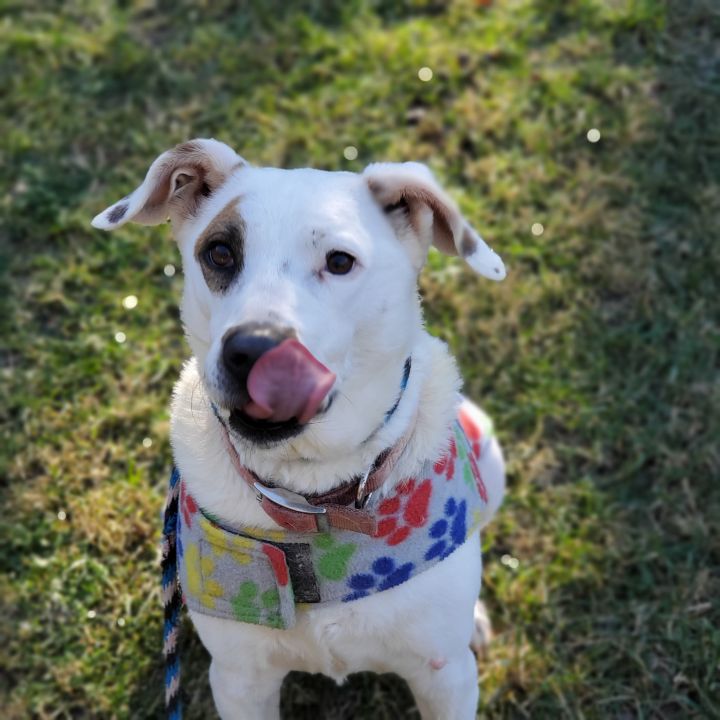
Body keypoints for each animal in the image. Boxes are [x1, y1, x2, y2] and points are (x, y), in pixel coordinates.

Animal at [93, 138, 506, 716]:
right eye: (219, 253)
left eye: (339, 262)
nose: (252, 350)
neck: (313, 495)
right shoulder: (240, 680)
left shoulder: (444, 677)